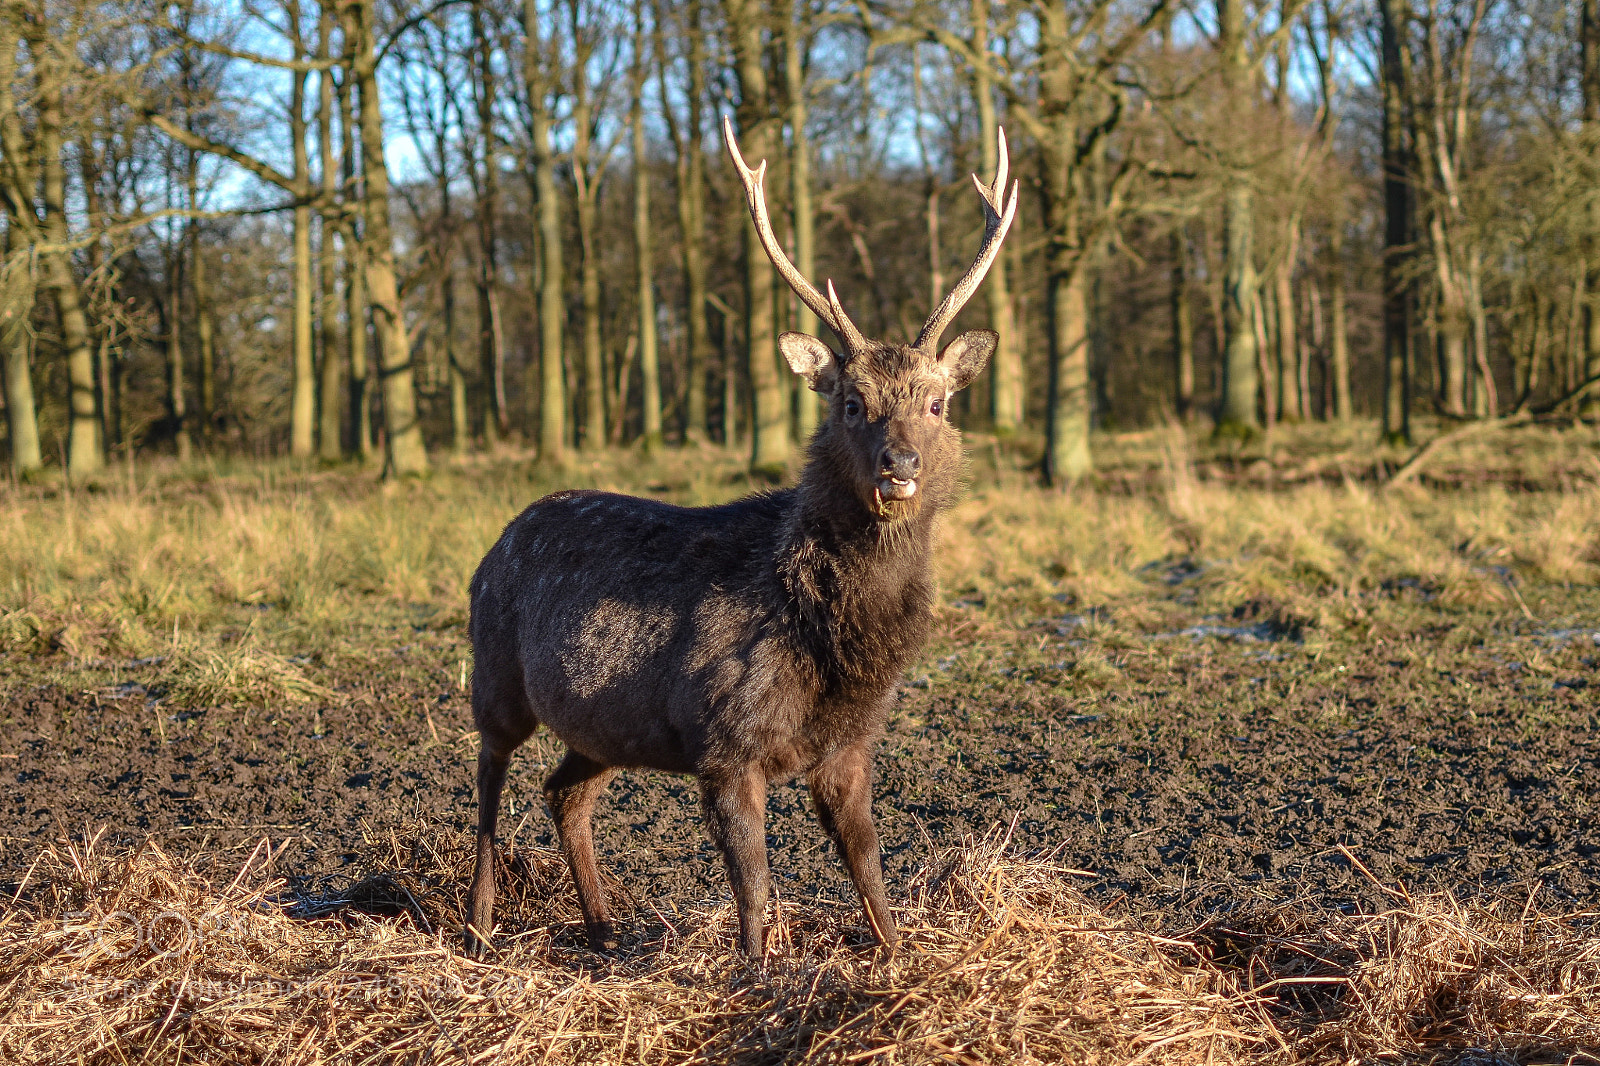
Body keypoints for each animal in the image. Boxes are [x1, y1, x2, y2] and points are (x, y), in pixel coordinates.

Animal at [463, 116, 1017, 960]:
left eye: (937, 402)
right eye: (851, 402)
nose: (901, 465)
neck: (833, 641)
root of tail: (493, 546)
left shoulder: (851, 743)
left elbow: (869, 867)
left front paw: (895, 957)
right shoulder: (724, 740)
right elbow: (753, 897)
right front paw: (759, 974)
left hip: (603, 725)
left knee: (563, 794)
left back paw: (603, 932)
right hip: (494, 677)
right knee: (489, 780)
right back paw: (480, 922)